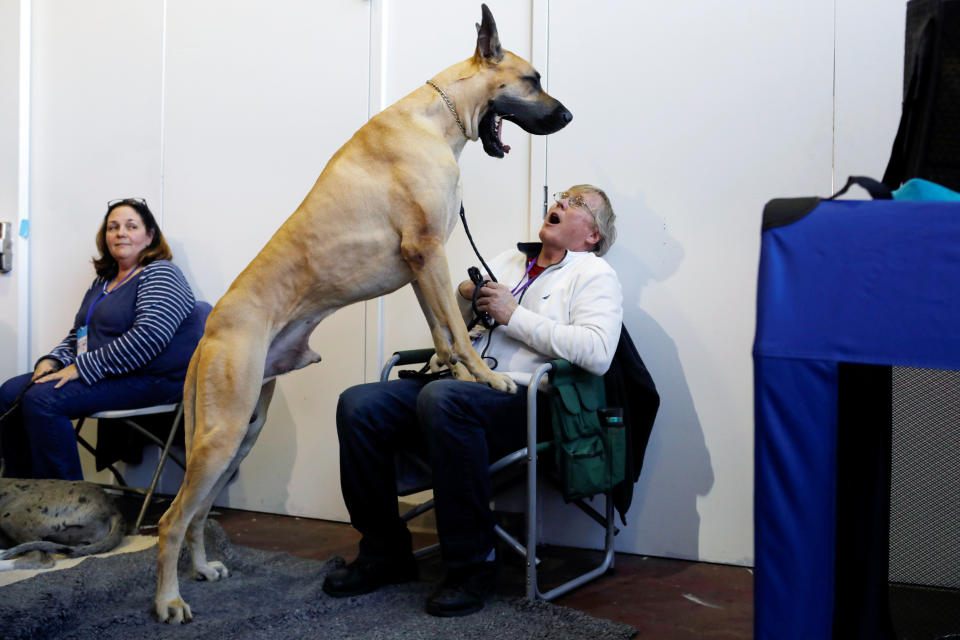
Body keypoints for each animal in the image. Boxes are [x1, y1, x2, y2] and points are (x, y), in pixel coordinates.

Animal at [152, 5, 568, 624]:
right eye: (533, 79)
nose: (568, 115)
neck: (436, 118)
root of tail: (206, 333)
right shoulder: (430, 254)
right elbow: (459, 330)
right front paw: (486, 377)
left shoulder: (421, 268)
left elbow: (442, 331)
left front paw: (449, 373)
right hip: (221, 431)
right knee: (169, 519)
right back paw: (168, 600)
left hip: (242, 430)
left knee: (199, 510)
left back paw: (201, 570)